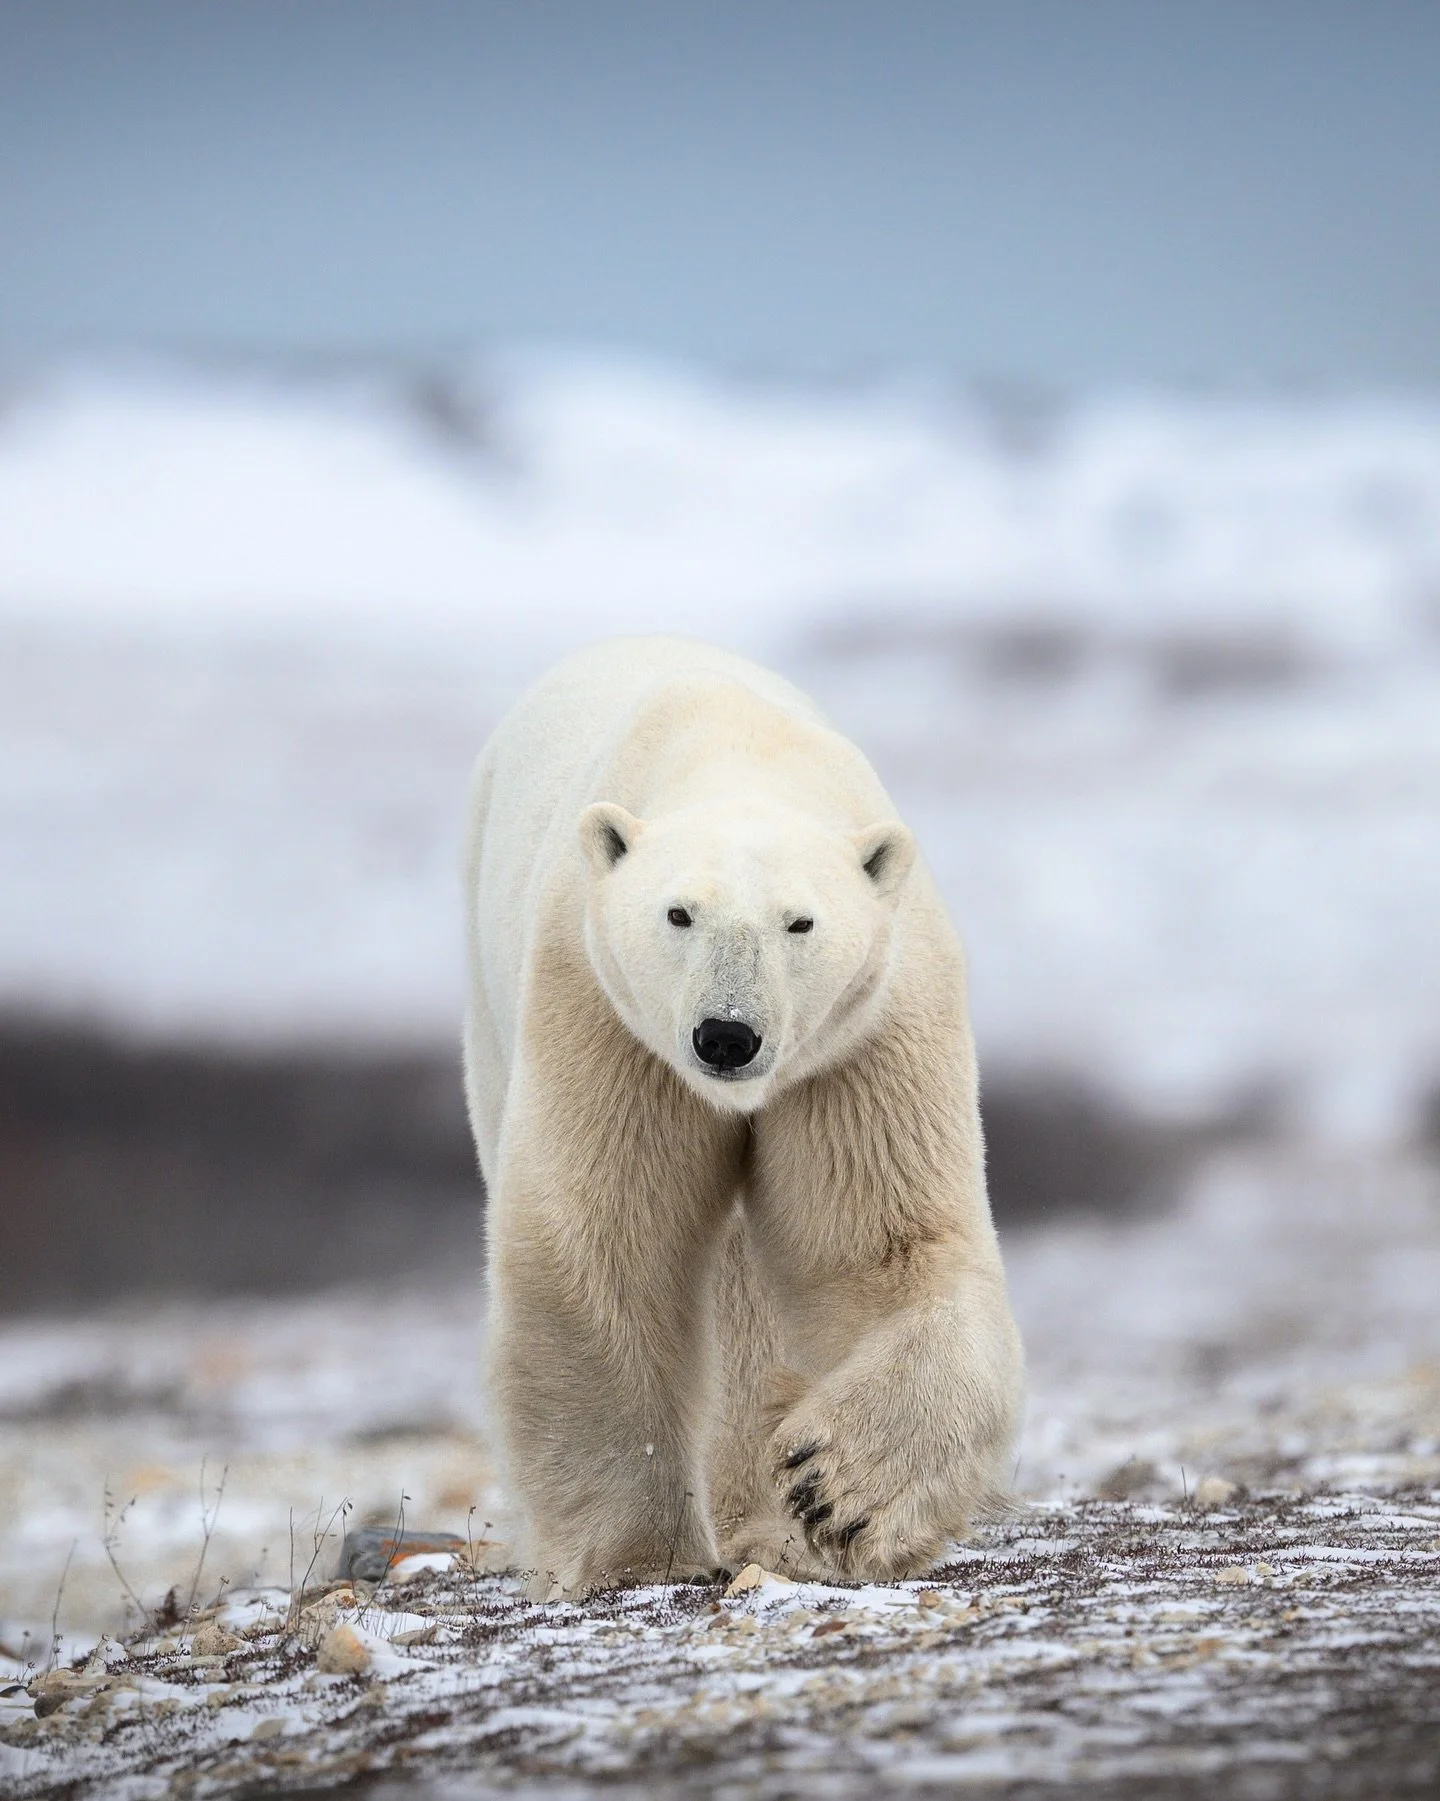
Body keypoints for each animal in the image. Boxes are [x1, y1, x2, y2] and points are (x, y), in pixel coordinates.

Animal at [462, 636, 1023, 1595]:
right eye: (678, 912)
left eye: (801, 922)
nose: (726, 1034)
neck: (739, 751)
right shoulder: (607, 1010)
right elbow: (603, 1237)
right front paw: (630, 1552)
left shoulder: (859, 1033)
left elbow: (887, 1245)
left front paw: (830, 1492)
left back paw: (766, 1524)